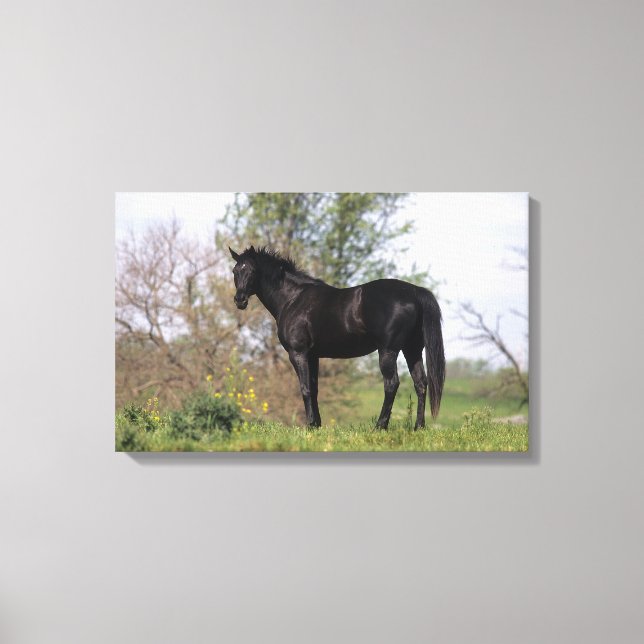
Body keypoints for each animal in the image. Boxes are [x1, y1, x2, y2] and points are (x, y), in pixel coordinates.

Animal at [229, 245, 445, 429]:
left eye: (252, 271)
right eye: (235, 271)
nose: (239, 300)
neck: (293, 299)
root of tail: (414, 292)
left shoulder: (298, 353)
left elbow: (305, 388)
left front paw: (309, 425)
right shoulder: (313, 355)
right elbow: (314, 388)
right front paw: (316, 425)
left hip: (388, 351)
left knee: (392, 384)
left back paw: (380, 426)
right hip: (412, 350)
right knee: (421, 384)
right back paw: (418, 427)